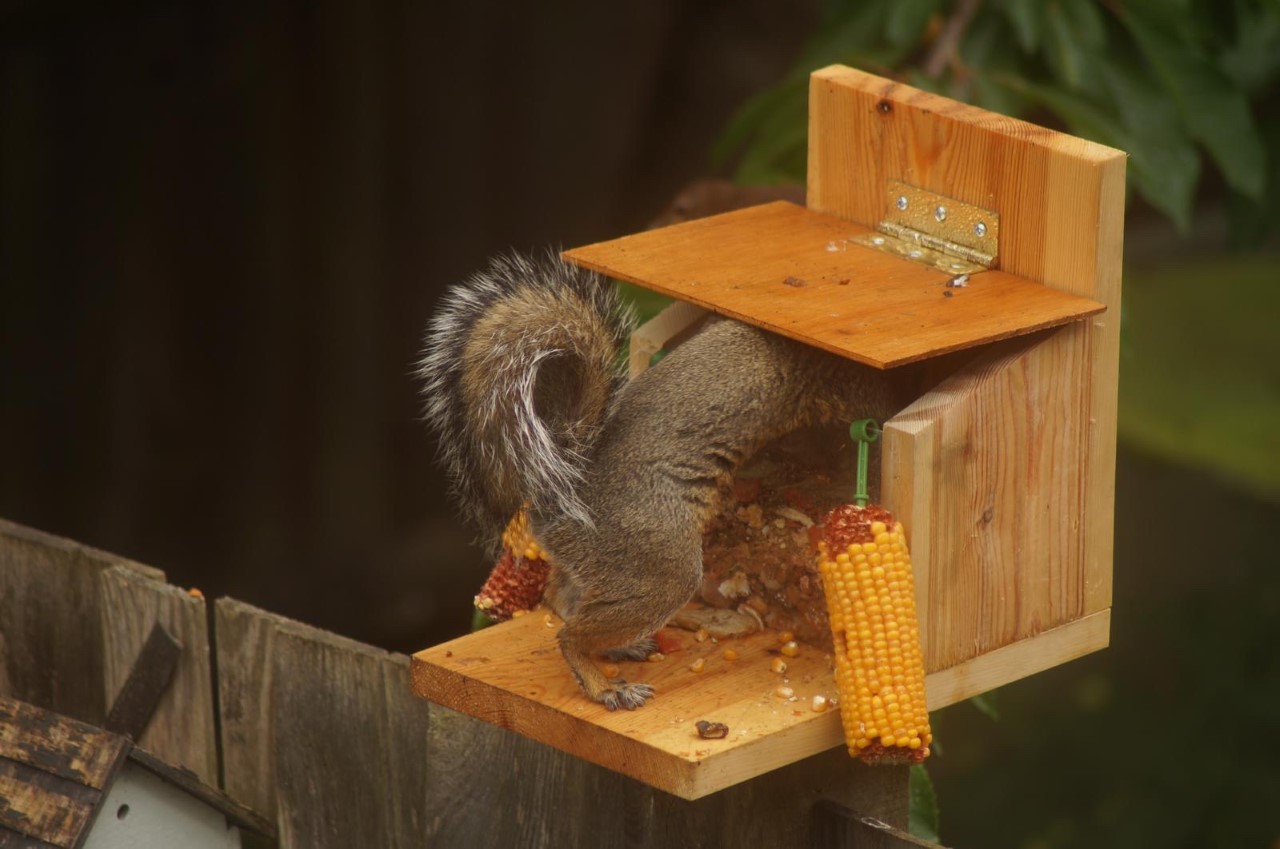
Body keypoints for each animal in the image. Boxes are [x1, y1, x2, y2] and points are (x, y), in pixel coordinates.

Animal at [418, 251, 900, 710]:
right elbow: (872, 403)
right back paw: (604, 686)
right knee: (572, 635)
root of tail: (559, 505)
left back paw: (618, 648)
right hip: (656, 567)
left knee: (566, 602)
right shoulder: (841, 378)